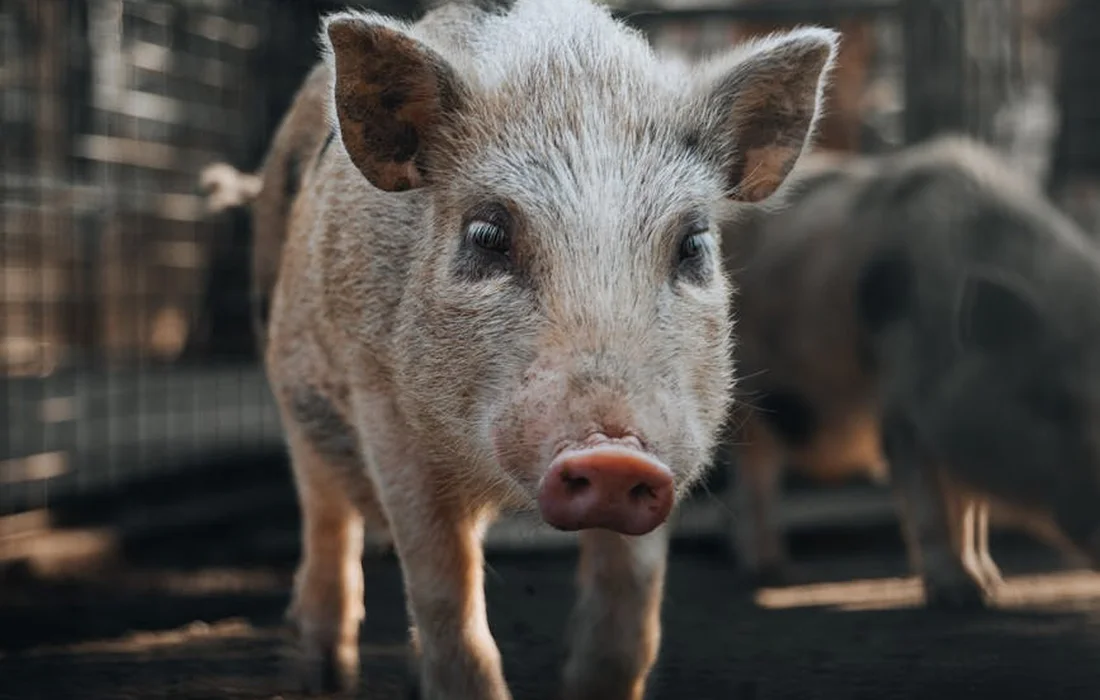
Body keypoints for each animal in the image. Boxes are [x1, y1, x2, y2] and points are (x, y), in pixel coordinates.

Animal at [205, 0, 838, 696]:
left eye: (694, 244)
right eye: (486, 235)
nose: (614, 456)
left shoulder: (671, 441)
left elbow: (630, 609)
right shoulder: (384, 411)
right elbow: (444, 591)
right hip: (293, 386)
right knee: (326, 519)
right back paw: (322, 674)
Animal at [722, 134, 1100, 609]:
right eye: (1050, 402)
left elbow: (971, 514)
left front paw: (991, 585)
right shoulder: (903, 412)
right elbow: (933, 508)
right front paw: (961, 596)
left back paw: (775, 573)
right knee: (752, 475)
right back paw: (766, 574)